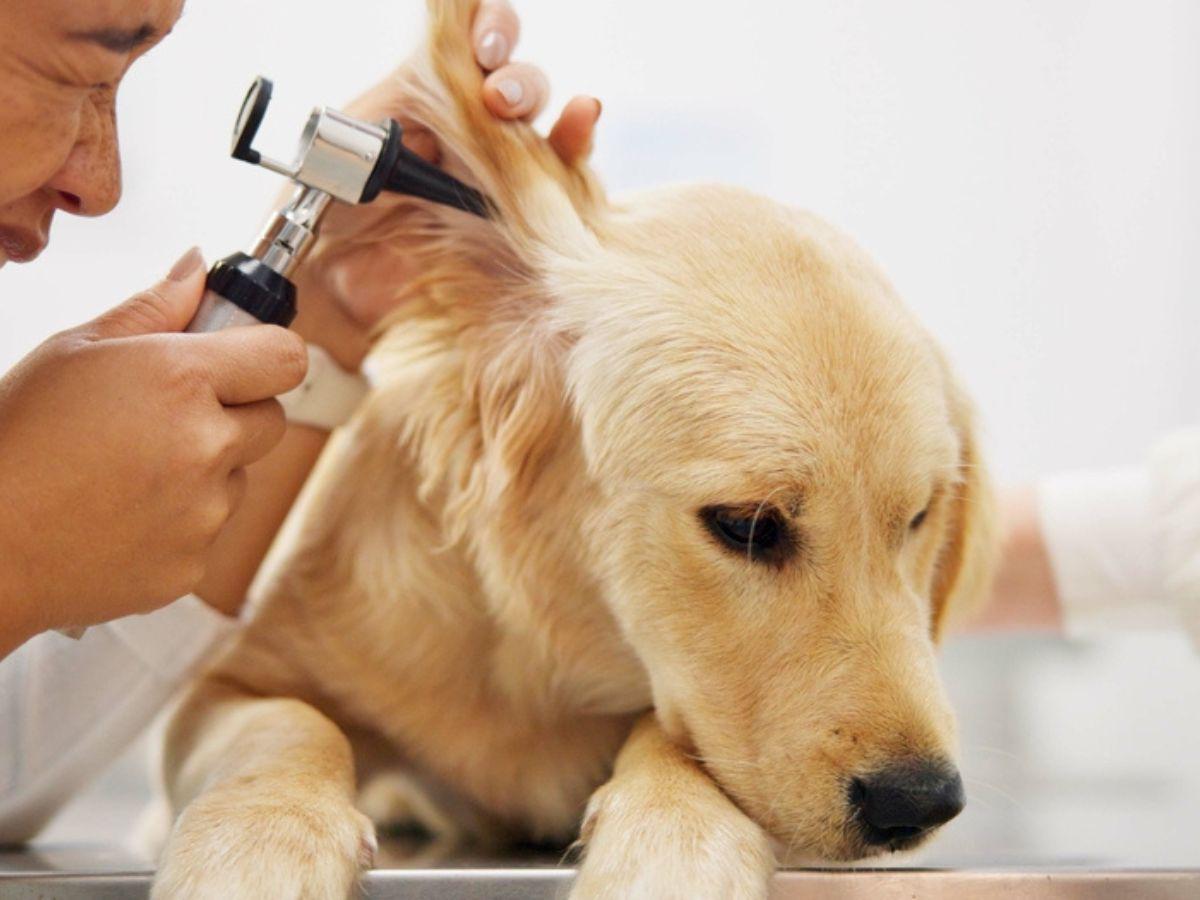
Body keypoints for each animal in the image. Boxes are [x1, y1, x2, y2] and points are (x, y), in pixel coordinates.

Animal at [152, 3, 993, 897]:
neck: (542, 666)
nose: (921, 802)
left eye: (918, 519)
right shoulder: (215, 689)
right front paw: (258, 839)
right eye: (747, 526)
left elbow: (668, 740)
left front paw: (672, 839)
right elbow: (288, 725)